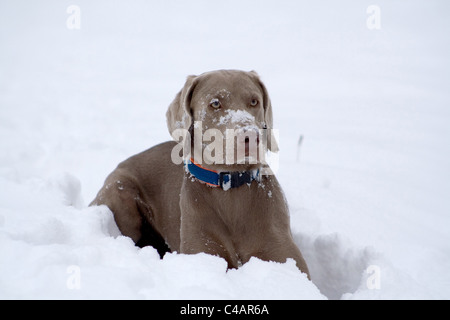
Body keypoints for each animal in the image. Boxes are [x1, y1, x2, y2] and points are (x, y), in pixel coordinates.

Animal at [90, 69, 310, 278]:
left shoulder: (284, 258)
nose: (250, 136)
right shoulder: (202, 250)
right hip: (120, 191)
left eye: (254, 101)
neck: (230, 188)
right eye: (215, 103)